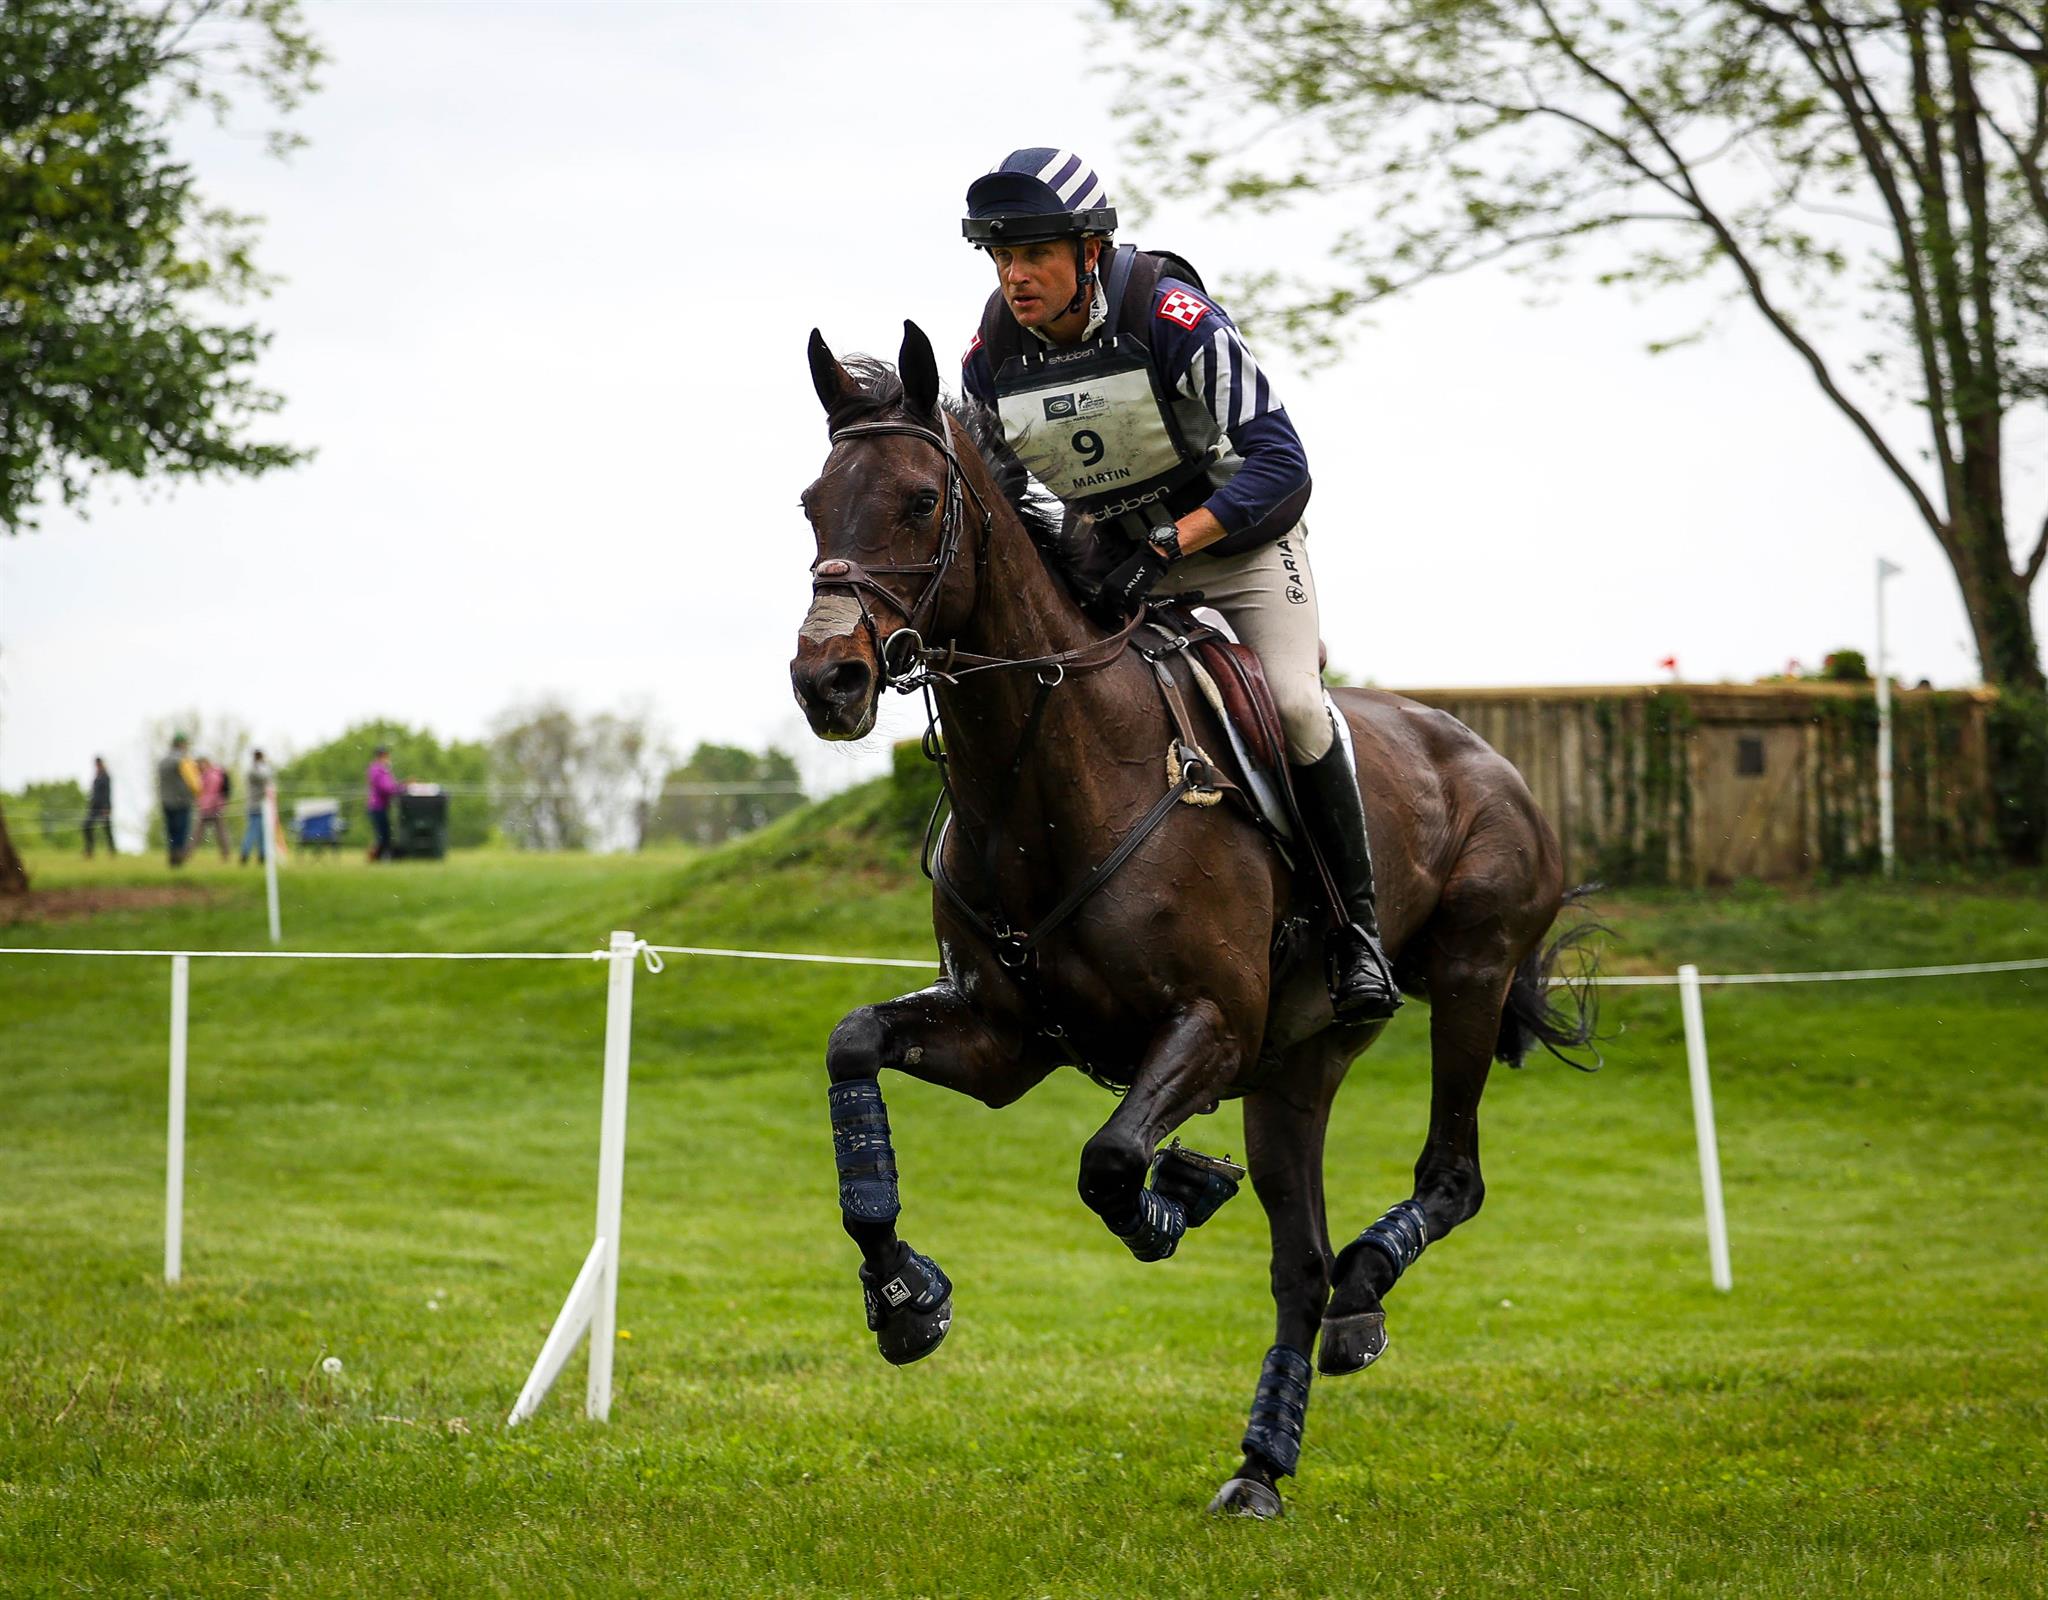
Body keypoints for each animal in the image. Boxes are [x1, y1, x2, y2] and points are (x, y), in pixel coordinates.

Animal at [786, 317, 1597, 1516]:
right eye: (811, 502)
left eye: (920, 502)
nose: (826, 679)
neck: (1047, 781)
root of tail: (1495, 761)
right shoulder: (1003, 1042)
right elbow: (854, 1047)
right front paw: (904, 1300)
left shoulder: (1207, 1027)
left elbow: (1112, 1161)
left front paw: (1177, 1194)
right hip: (1294, 1070)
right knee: (1299, 1264)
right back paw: (1263, 1458)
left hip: (1465, 976)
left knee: (1445, 1178)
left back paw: (1358, 1290)